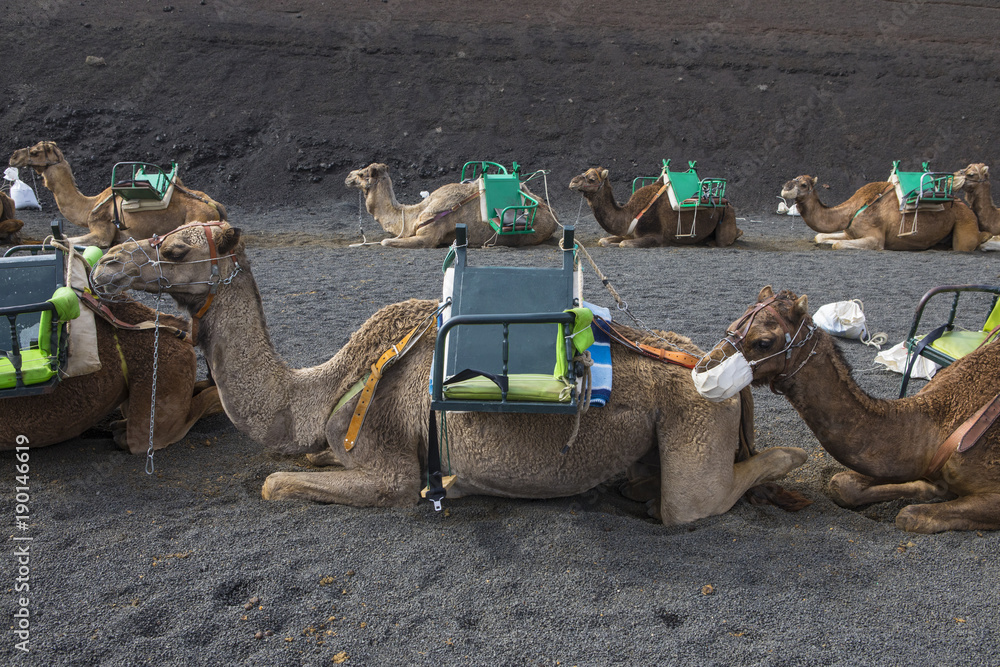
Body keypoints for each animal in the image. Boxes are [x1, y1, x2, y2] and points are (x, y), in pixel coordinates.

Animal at [8, 141, 227, 248]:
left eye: (35, 152)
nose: (13, 156)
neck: (89, 205)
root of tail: (216, 207)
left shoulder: (102, 232)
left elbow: (61, 240)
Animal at [91, 222, 809, 525]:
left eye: (174, 250)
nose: (105, 263)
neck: (320, 388)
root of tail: (717, 366)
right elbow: (299, 465)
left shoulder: (385, 465)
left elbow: (274, 484)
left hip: (695, 419)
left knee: (695, 501)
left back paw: (790, 463)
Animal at [568, 167, 742, 247]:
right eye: (585, 172)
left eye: (591, 179)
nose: (572, 182)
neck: (631, 213)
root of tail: (729, 203)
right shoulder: (628, 232)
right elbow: (603, 240)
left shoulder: (656, 236)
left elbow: (624, 244)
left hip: (727, 217)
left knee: (727, 238)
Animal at [695, 285, 1000, 533]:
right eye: (730, 327)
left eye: (764, 342)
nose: (702, 371)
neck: (937, 422)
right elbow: (841, 485)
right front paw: (932, 487)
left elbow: (910, 516)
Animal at [780, 174, 987, 251]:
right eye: (794, 178)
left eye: (803, 184)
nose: (785, 188)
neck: (853, 210)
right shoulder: (850, 231)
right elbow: (820, 236)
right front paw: (825, 240)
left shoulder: (875, 238)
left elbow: (837, 245)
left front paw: (833, 243)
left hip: (964, 226)